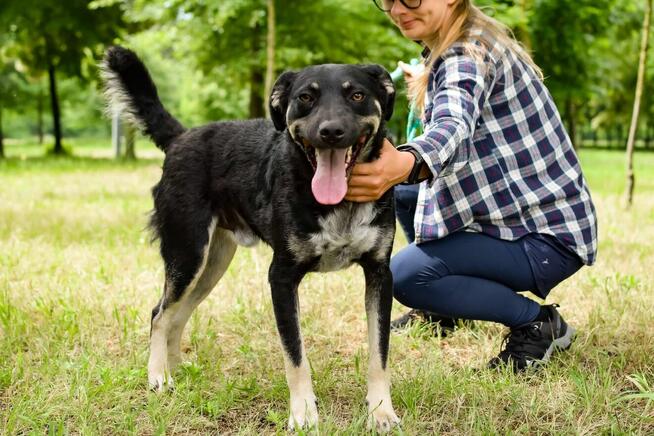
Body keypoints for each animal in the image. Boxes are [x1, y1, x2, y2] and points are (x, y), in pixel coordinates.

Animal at [102, 46, 400, 430]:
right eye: (306, 97)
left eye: (357, 95)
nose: (331, 131)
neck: (339, 203)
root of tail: (181, 136)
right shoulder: (281, 277)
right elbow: (295, 355)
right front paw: (303, 413)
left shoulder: (380, 274)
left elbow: (379, 352)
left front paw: (381, 411)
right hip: (187, 254)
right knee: (159, 314)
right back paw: (158, 376)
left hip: (212, 265)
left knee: (177, 316)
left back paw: (177, 370)